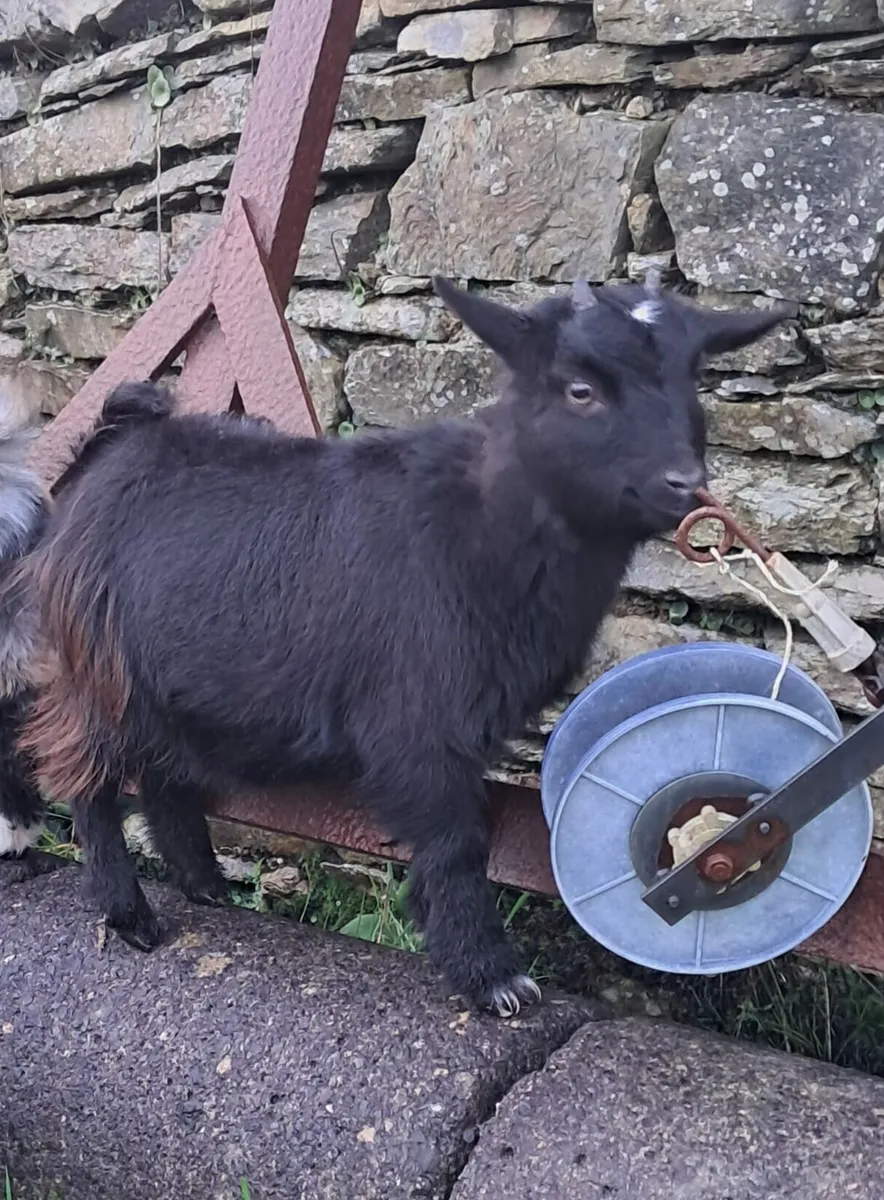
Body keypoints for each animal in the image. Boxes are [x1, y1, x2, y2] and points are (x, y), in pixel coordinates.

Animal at [19, 278, 786, 1014]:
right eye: (580, 389)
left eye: (693, 380)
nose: (686, 486)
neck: (484, 529)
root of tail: (115, 448)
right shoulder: (418, 721)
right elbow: (457, 844)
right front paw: (490, 976)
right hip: (101, 672)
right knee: (89, 784)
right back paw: (129, 915)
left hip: (172, 683)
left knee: (166, 776)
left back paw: (204, 884)